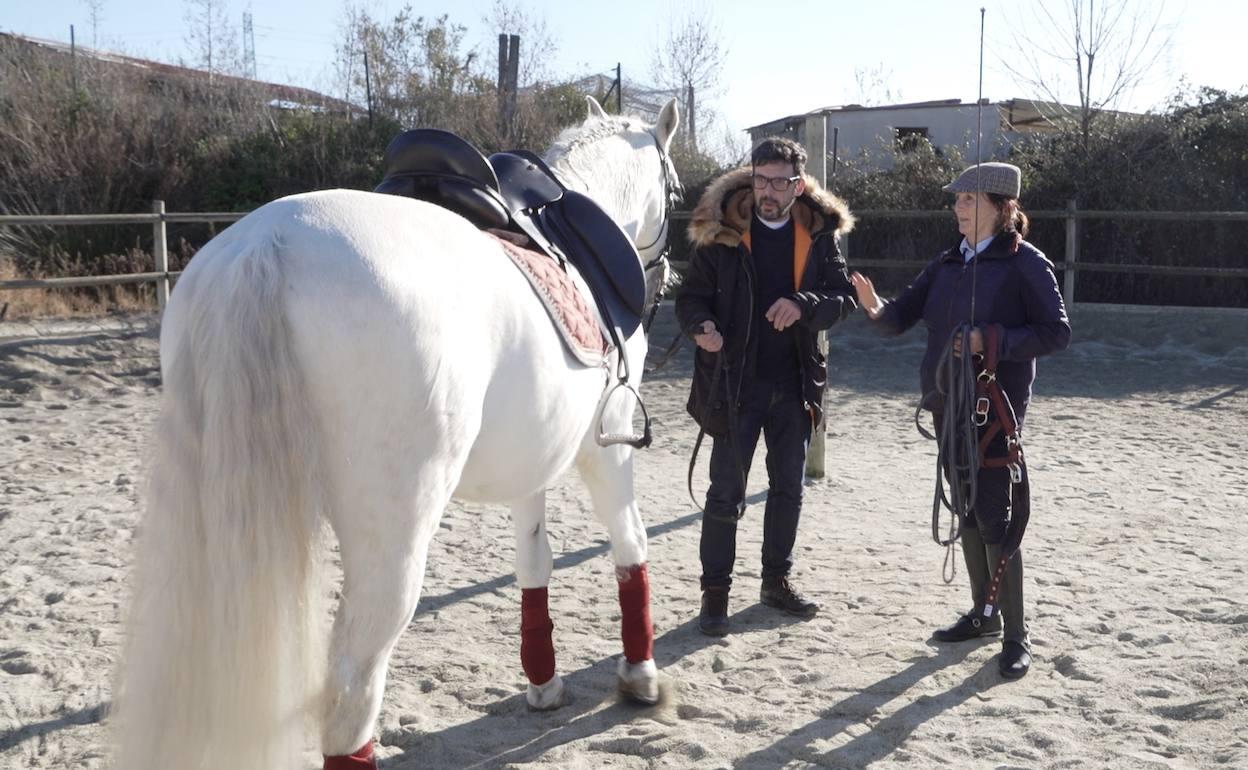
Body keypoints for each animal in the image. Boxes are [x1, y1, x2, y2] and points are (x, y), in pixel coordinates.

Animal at [114, 97, 683, 768]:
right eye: (676, 190)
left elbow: (533, 560)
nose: (669, 275)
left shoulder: (531, 458)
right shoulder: (608, 446)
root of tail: (264, 243)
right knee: (352, 684)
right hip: (394, 535)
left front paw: (543, 682)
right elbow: (631, 545)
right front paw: (640, 676)